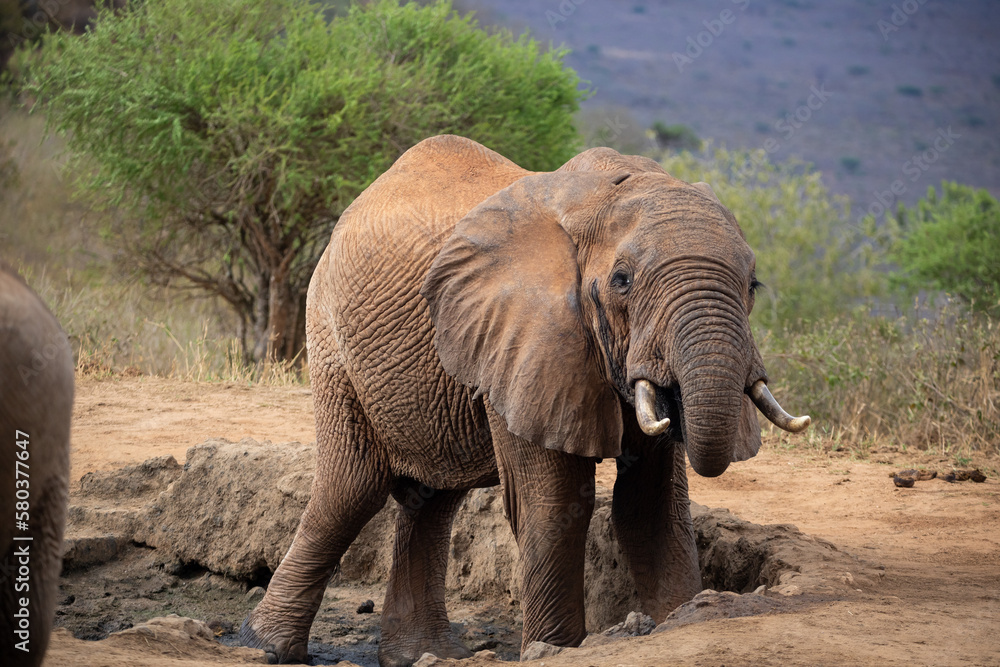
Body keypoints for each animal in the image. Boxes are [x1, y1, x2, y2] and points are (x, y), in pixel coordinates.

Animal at [240, 133, 804, 664]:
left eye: (753, 284)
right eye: (622, 281)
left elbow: (651, 507)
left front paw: (685, 618)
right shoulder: (526, 338)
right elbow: (553, 504)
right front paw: (553, 651)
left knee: (432, 498)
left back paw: (424, 656)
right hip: (332, 340)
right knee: (351, 490)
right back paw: (267, 646)